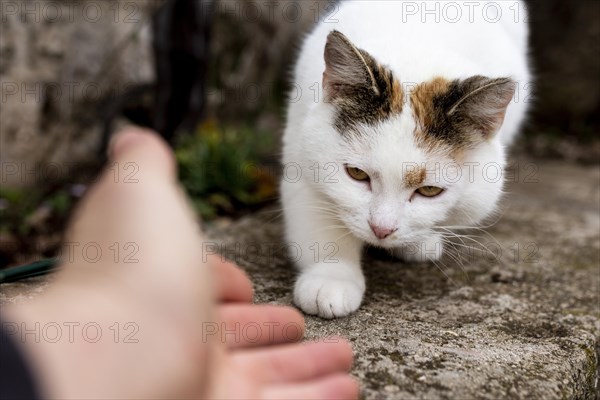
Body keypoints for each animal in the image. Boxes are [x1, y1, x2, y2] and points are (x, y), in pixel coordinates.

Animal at [282, 0, 528, 318]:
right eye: (357, 174)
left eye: (429, 190)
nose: (381, 230)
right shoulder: (299, 153)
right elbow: (319, 223)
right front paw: (331, 277)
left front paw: (419, 242)